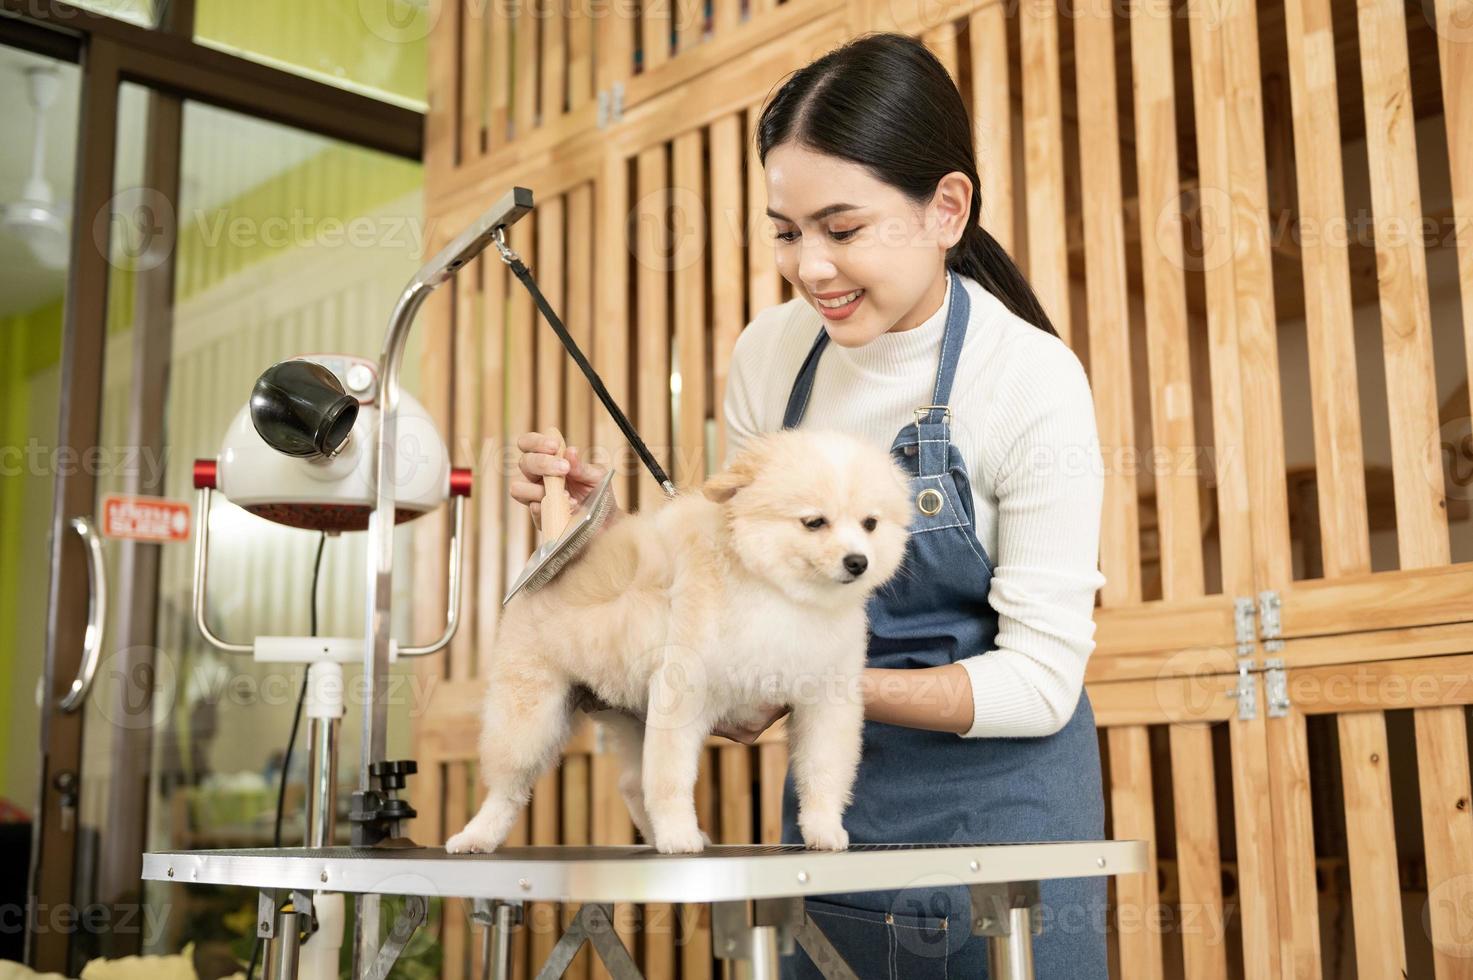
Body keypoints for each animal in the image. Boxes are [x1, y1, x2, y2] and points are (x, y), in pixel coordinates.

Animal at [441, 427, 913, 848]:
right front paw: (678, 836)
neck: (777, 594)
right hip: (530, 713)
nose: (858, 561)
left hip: (630, 713)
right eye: (814, 522)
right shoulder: (680, 692)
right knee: (508, 786)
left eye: (870, 524)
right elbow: (670, 781)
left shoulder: (826, 701)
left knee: (631, 783)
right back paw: (476, 836)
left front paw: (823, 829)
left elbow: (823, 774)